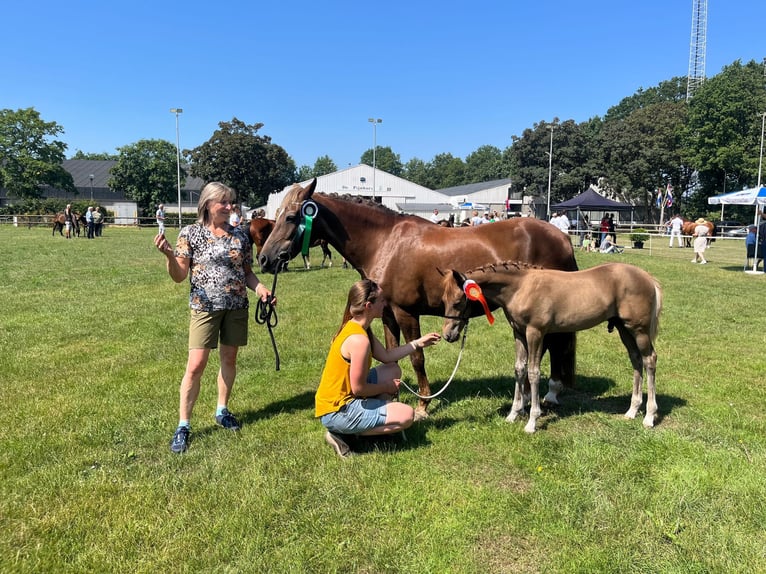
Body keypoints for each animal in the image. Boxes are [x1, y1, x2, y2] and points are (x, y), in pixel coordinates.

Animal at [257, 178, 579, 418]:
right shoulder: (387, 313)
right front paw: (392, 397)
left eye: (290, 217)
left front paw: (423, 404)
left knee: (553, 345)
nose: (264, 259)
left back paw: (546, 394)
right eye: (277, 215)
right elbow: (391, 355)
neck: (384, 242)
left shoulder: (406, 312)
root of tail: (562, 237)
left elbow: (416, 357)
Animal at [440, 260, 662, 433]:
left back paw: (649, 416)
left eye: (459, 301)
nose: (448, 335)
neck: (521, 287)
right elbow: (519, 369)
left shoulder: (535, 333)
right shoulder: (519, 333)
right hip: (624, 328)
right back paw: (632, 411)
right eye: (443, 299)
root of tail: (648, 278)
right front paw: (513, 414)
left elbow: (533, 372)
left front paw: (532, 421)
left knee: (649, 360)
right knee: (636, 360)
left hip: (639, 330)